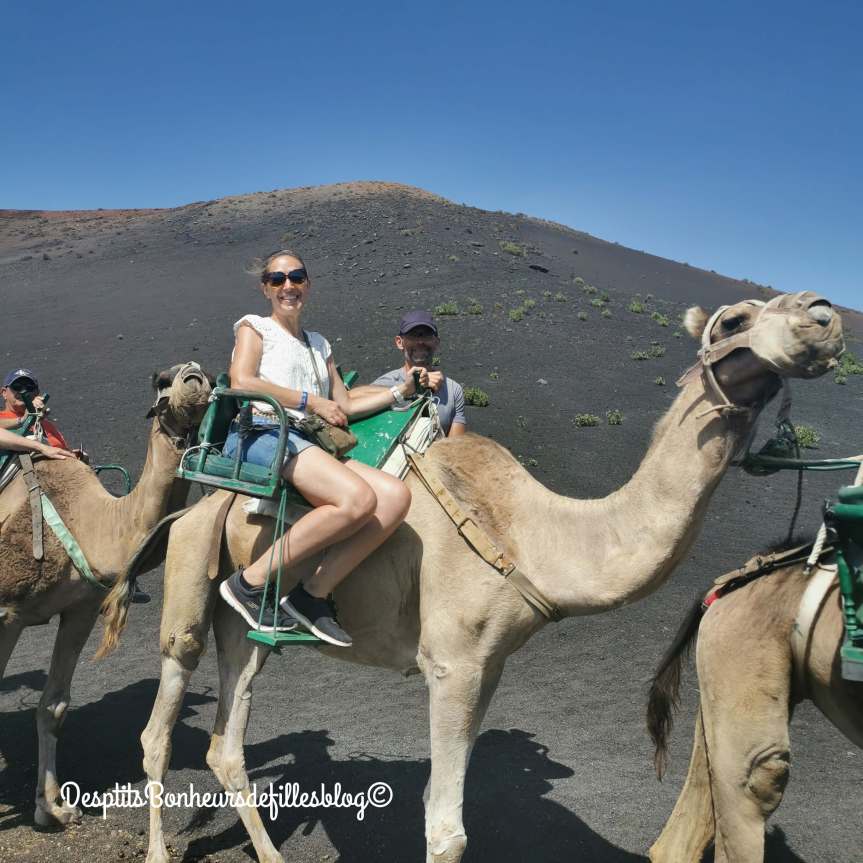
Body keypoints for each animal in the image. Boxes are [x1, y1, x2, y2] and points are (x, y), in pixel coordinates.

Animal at [0, 361, 211, 828]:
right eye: (161, 379)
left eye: (208, 374)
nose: (193, 375)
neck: (91, 523)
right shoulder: (6, 614)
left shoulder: (80, 608)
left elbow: (54, 706)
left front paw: (53, 808)